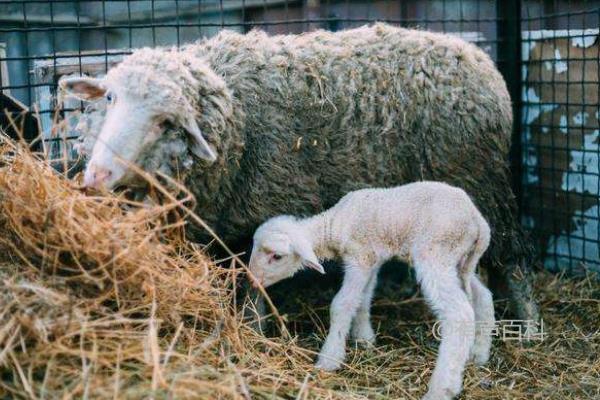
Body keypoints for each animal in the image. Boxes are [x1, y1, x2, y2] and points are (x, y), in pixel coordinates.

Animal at [59, 23, 540, 320]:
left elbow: (255, 281)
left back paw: (530, 323)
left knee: (514, 261)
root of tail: (478, 57)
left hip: (483, 183)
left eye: (166, 122)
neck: (236, 114)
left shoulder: (262, 208)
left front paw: (253, 328)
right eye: (110, 99)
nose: (97, 176)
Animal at [247, 182, 492, 400]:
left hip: (436, 251)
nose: (251, 279)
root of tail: (478, 222)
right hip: (460, 262)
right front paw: (364, 338)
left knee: (460, 314)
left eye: (277, 256)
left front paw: (330, 358)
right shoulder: (372, 260)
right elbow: (362, 299)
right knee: (483, 296)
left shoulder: (359, 258)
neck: (335, 224)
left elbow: (342, 304)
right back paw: (479, 353)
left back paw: (442, 389)